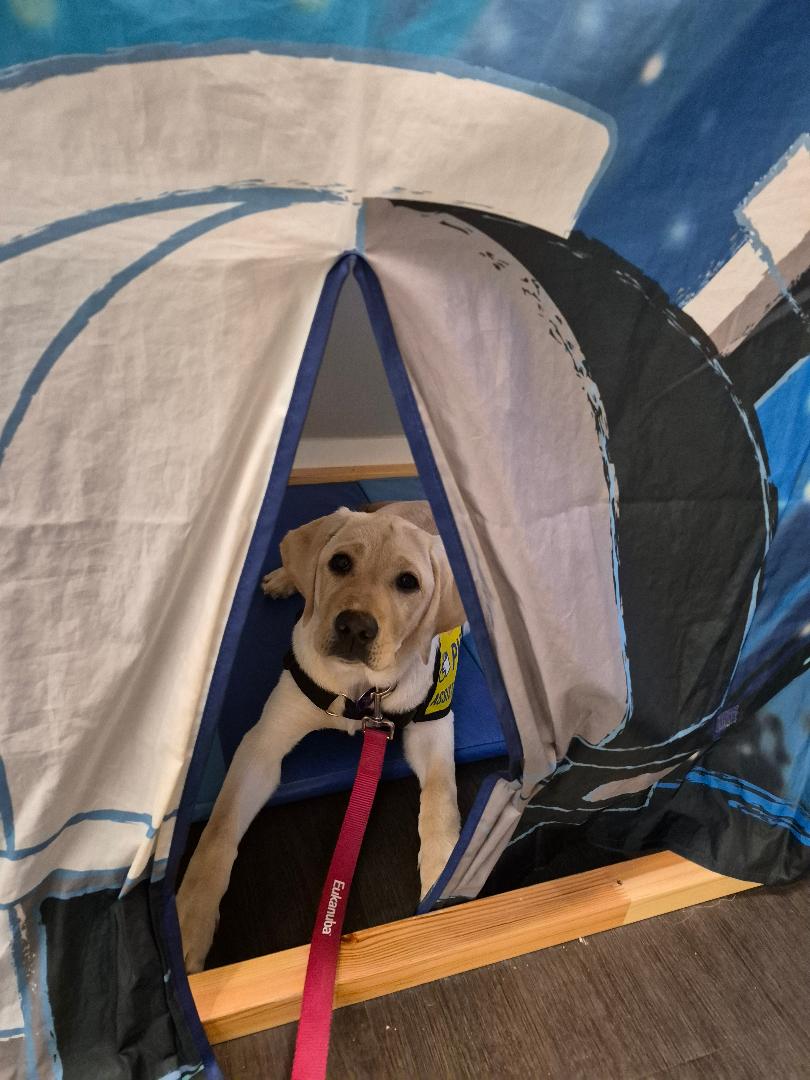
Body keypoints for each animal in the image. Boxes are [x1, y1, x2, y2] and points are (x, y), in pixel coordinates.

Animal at [177, 500, 466, 973]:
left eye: (408, 583)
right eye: (340, 563)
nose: (355, 627)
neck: (360, 691)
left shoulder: (433, 723)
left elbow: (441, 798)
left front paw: (445, 869)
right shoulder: (263, 743)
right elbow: (218, 832)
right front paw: (189, 920)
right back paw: (281, 578)